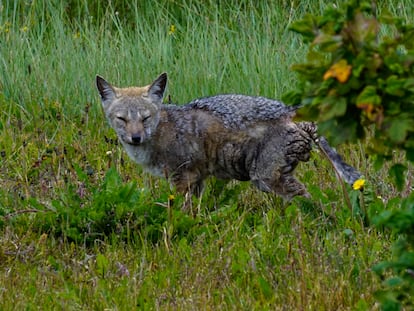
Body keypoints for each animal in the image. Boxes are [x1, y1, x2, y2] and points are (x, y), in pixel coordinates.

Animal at [95, 73, 360, 210]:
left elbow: (179, 212)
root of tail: (293, 110)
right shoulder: (197, 179)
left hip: (265, 178)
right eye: (122, 119)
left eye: (145, 118)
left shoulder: (182, 178)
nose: (135, 137)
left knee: (308, 199)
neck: (162, 130)